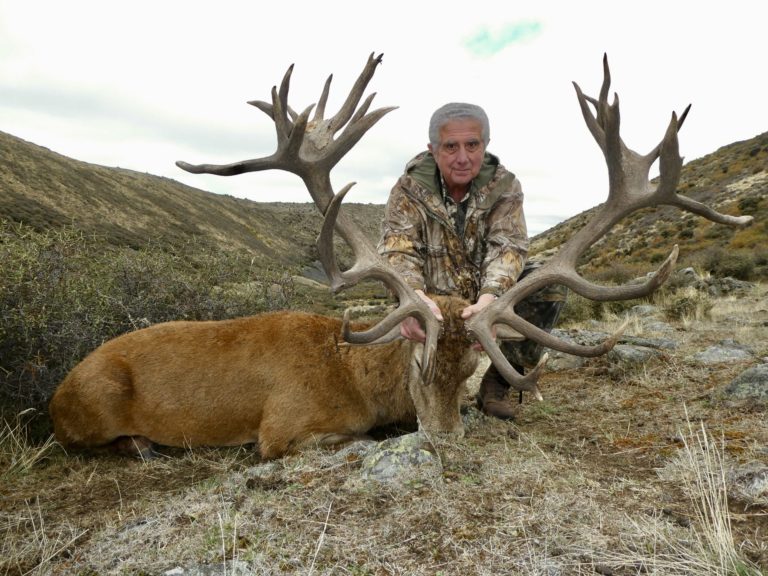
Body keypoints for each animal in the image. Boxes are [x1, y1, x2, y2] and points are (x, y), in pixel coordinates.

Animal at [48, 53, 752, 459]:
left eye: (470, 366)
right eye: (417, 360)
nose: (442, 437)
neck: (359, 378)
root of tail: (55, 390)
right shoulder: (281, 429)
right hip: (90, 413)